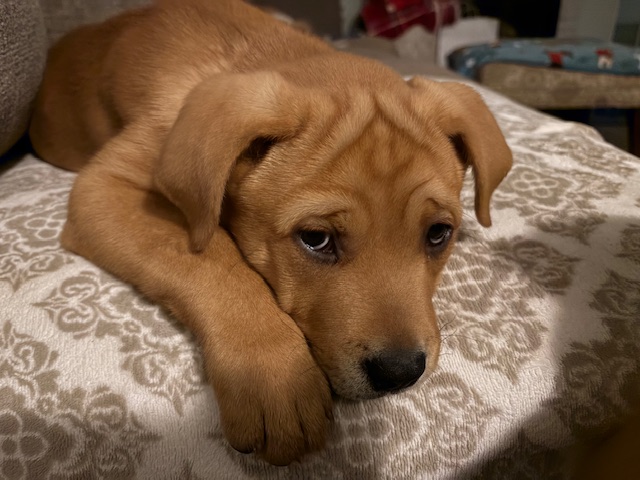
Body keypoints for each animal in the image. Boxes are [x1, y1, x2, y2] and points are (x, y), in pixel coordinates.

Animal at [29, 0, 512, 465]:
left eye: (439, 233)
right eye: (316, 239)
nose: (400, 374)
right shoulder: (104, 189)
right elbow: (213, 262)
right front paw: (277, 376)